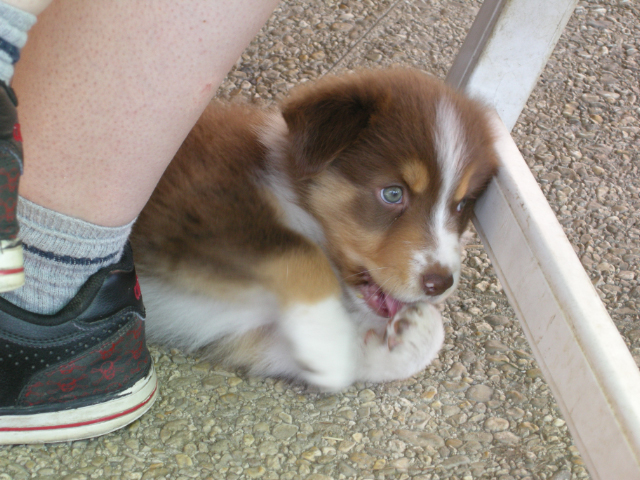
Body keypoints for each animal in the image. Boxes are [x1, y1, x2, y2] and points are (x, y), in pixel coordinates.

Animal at [130, 68, 499, 391]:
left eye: (461, 205)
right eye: (393, 193)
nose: (440, 284)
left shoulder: (247, 328)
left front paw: (414, 332)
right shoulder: (193, 206)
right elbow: (298, 251)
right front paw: (329, 348)